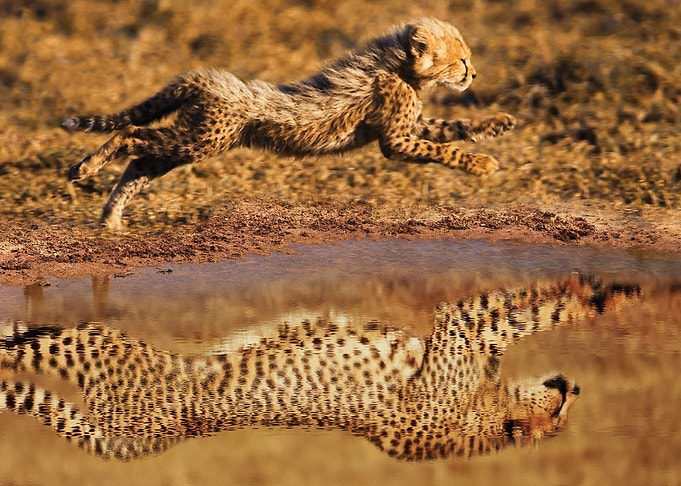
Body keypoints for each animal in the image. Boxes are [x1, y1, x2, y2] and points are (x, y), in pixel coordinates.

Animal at [0, 274, 639, 461]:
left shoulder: (462, 333)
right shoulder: (458, 325)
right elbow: (532, 312)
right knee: (19, 345)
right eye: (561, 414)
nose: (575, 388)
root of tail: (154, 440)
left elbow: (524, 314)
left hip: (89, 358)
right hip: (90, 342)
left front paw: (603, 296)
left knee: (16, 354)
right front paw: (604, 296)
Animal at [62, 17, 516, 230]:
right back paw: (83, 168)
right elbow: (443, 147)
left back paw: (110, 220)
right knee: (129, 134)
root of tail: (205, 77)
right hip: (202, 139)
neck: (397, 66)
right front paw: (481, 164)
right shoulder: (395, 141)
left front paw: (497, 123)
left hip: (189, 144)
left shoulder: (409, 127)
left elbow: (451, 127)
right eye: (461, 60)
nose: (473, 75)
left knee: (139, 162)